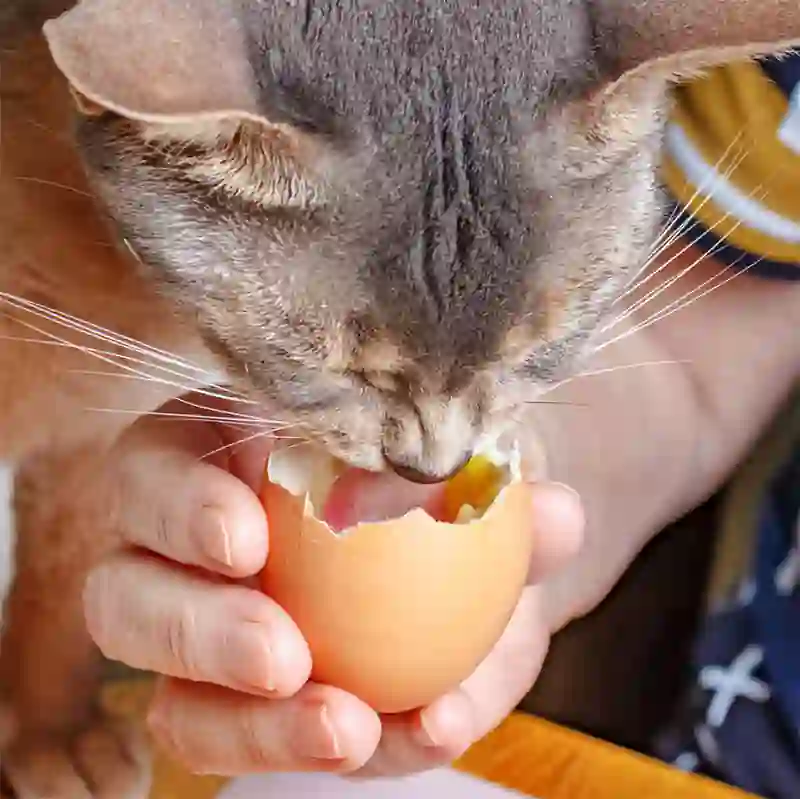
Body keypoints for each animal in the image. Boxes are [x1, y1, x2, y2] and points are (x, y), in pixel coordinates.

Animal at [0, 0, 796, 796]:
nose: (428, 467)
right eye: (342, 367)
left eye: (530, 351)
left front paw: (56, 728)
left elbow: (63, 560)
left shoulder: (96, 410)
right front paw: (54, 733)